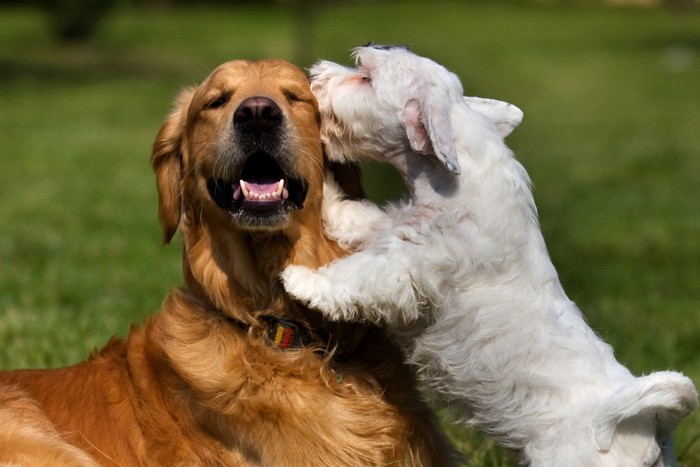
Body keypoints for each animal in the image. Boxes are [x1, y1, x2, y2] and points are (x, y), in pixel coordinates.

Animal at [282, 44, 696, 467]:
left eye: (366, 77)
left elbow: (357, 277)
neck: (455, 181)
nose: (314, 74)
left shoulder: (411, 269)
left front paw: (300, 281)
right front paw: (328, 192)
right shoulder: (393, 226)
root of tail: (649, 425)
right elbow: (357, 218)